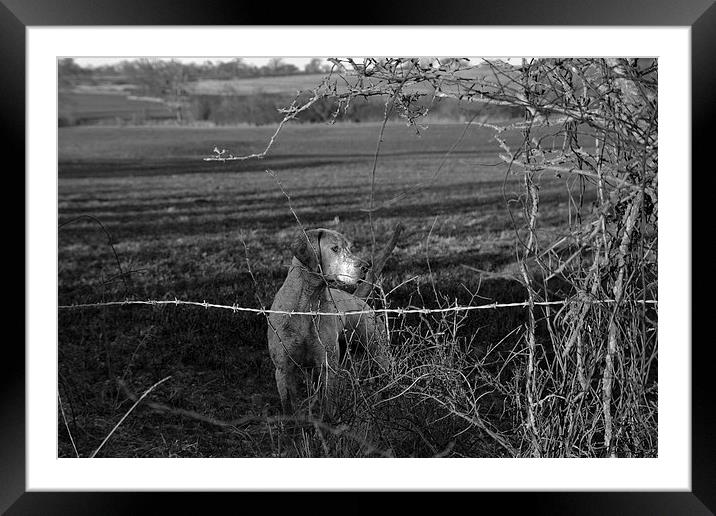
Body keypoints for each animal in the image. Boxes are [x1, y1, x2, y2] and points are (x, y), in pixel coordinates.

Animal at [268, 228, 388, 414]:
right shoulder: (283, 370)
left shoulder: (327, 367)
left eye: (349, 248)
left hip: (379, 354)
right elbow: (290, 409)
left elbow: (328, 409)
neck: (307, 304)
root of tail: (357, 298)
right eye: (335, 248)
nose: (366, 266)